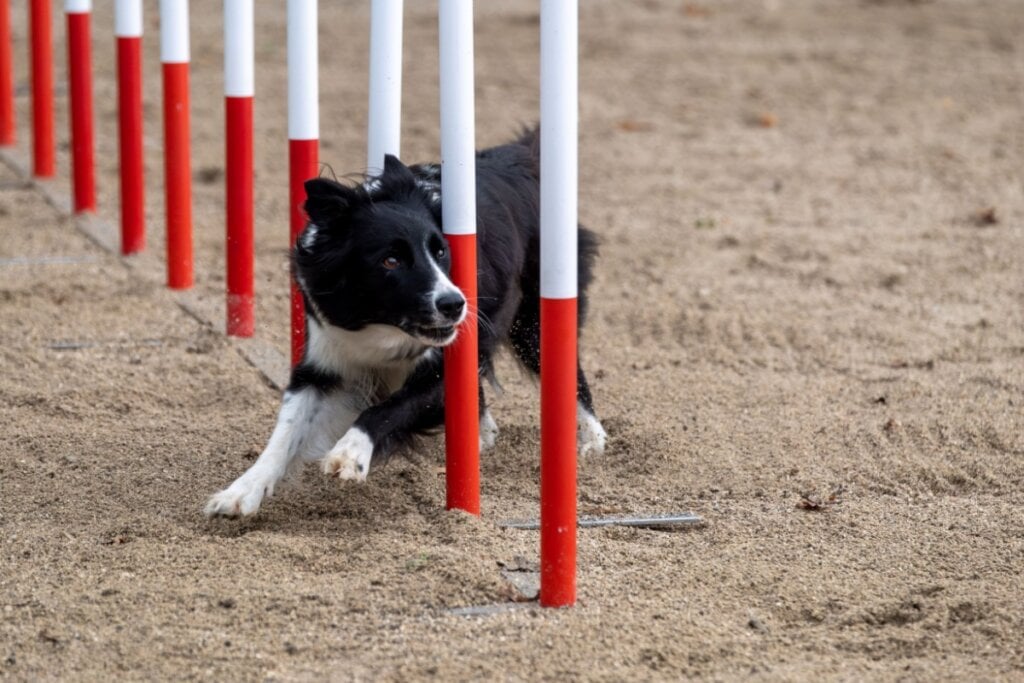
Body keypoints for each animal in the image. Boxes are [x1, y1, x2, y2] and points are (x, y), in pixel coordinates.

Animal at [208, 129, 606, 518]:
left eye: (441, 251)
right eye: (391, 261)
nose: (455, 305)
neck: (379, 324)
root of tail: (517, 156)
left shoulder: (445, 367)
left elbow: (385, 409)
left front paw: (350, 454)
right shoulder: (324, 361)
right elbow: (286, 432)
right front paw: (240, 492)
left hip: (535, 318)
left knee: (570, 375)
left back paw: (592, 439)